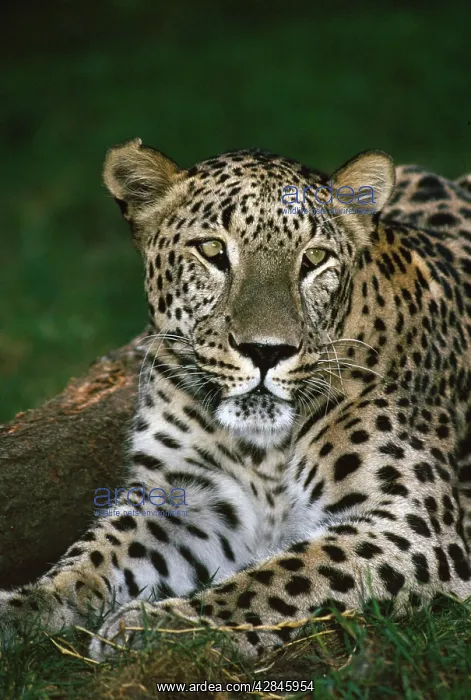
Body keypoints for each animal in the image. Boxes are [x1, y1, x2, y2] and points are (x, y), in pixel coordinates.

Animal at [1, 138, 471, 664]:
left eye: (314, 258)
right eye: (212, 251)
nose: (266, 350)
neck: (264, 449)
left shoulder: (411, 525)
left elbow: (282, 576)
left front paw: (158, 627)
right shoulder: (185, 501)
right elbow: (91, 558)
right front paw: (22, 608)